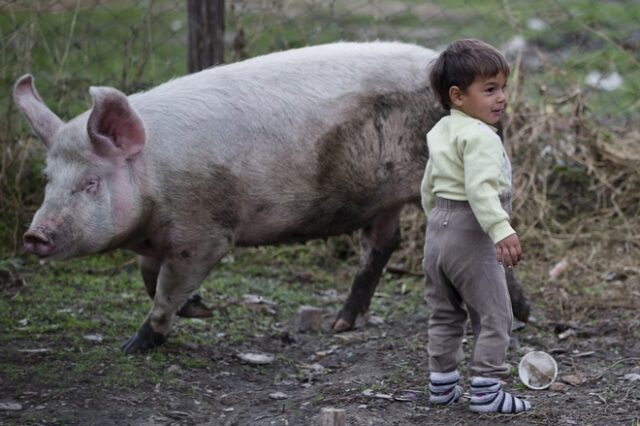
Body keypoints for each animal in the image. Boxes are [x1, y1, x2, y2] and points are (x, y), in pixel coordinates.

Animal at [13, 41, 528, 354]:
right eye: (49, 178)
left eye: (91, 182)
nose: (34, 236)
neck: (152, 179)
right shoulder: (159, 239)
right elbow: (147, 277)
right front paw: (200, 309)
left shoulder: (205, 234)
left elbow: (164, 290)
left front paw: (135, 346)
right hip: (380, 200)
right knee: (382, 245)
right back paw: (341, 324)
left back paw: (521, 316)